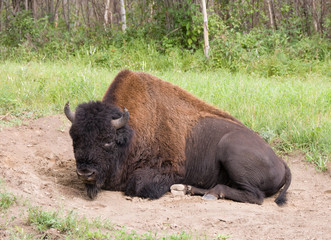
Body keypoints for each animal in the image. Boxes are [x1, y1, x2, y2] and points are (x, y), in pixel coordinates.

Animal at [65, 70, 294, 205]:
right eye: (74, 139)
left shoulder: (170, 168)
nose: (85, 172)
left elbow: (137, 185)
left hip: (230, 149)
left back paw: (211, 193)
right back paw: (185, 189)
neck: (130, 133)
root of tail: (281, 162)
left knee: (255, 196)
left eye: (108, 140)